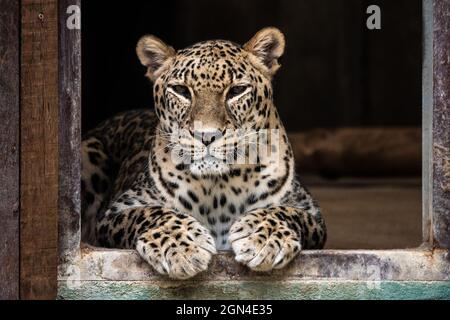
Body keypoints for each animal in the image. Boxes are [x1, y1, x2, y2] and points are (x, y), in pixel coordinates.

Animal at [81, 27, 326, 278]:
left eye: (237, 90)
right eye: (181, 90)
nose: (206, 136)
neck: (219, 188)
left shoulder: (310, 210)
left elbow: (286, 212)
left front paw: (262, 237)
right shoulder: (116, 210)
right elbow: (150, 214)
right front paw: (181, 246)